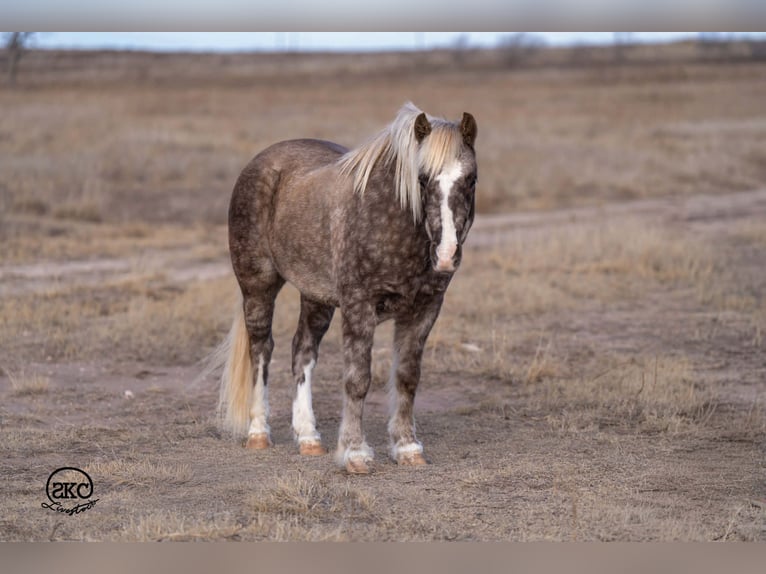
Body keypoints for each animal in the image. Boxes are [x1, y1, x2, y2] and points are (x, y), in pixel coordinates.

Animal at [214, 102, 478, 474]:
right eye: (422, 179)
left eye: (471, 179)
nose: (446, 254)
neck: (391, 221)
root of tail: (261, 162)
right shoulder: (358, 306)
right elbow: (357, 380)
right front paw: (355, 453)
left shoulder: (425, 309)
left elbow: (407, 377)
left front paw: (407, 447)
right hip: (258, 287)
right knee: (261, 351)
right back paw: (258, 432)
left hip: (316, 298)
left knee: (302, 352)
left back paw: (309, 438)